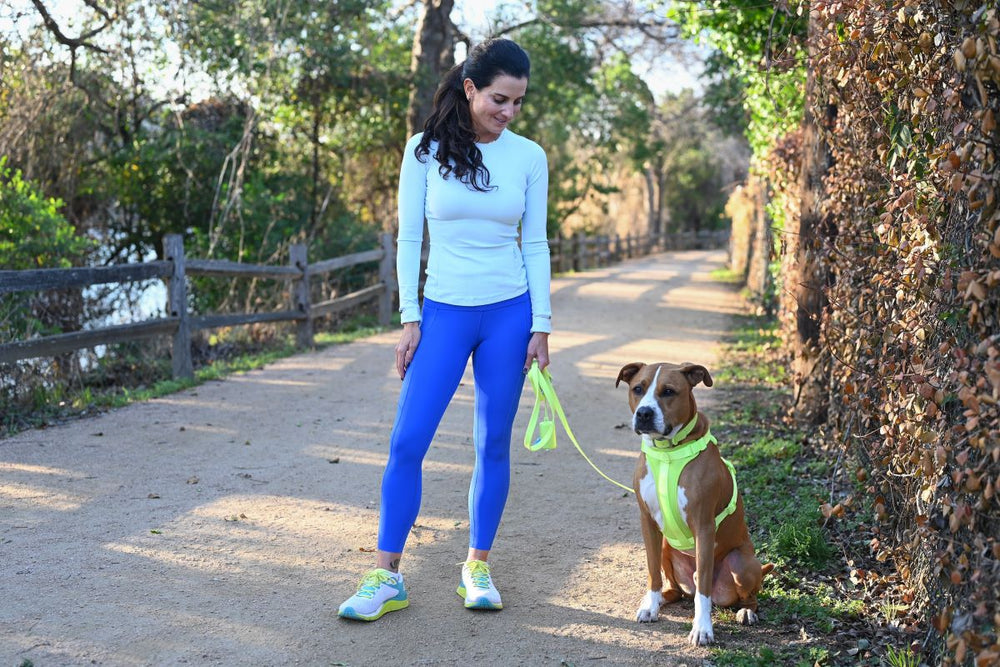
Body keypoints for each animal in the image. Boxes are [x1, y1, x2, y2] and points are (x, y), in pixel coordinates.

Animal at [612, 362, 768, 648]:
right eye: (637, 389)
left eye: (668, 391)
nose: (644, 413)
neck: (667, 453)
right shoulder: (647, 523)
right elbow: (652, 572)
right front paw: (650, 605)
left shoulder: (704, 527)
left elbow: (703, 589)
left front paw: (703, 628)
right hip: (666, 546)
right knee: (676, 590)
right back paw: (660, 599)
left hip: (741, 564)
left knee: (744, 596)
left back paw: (746, 612)